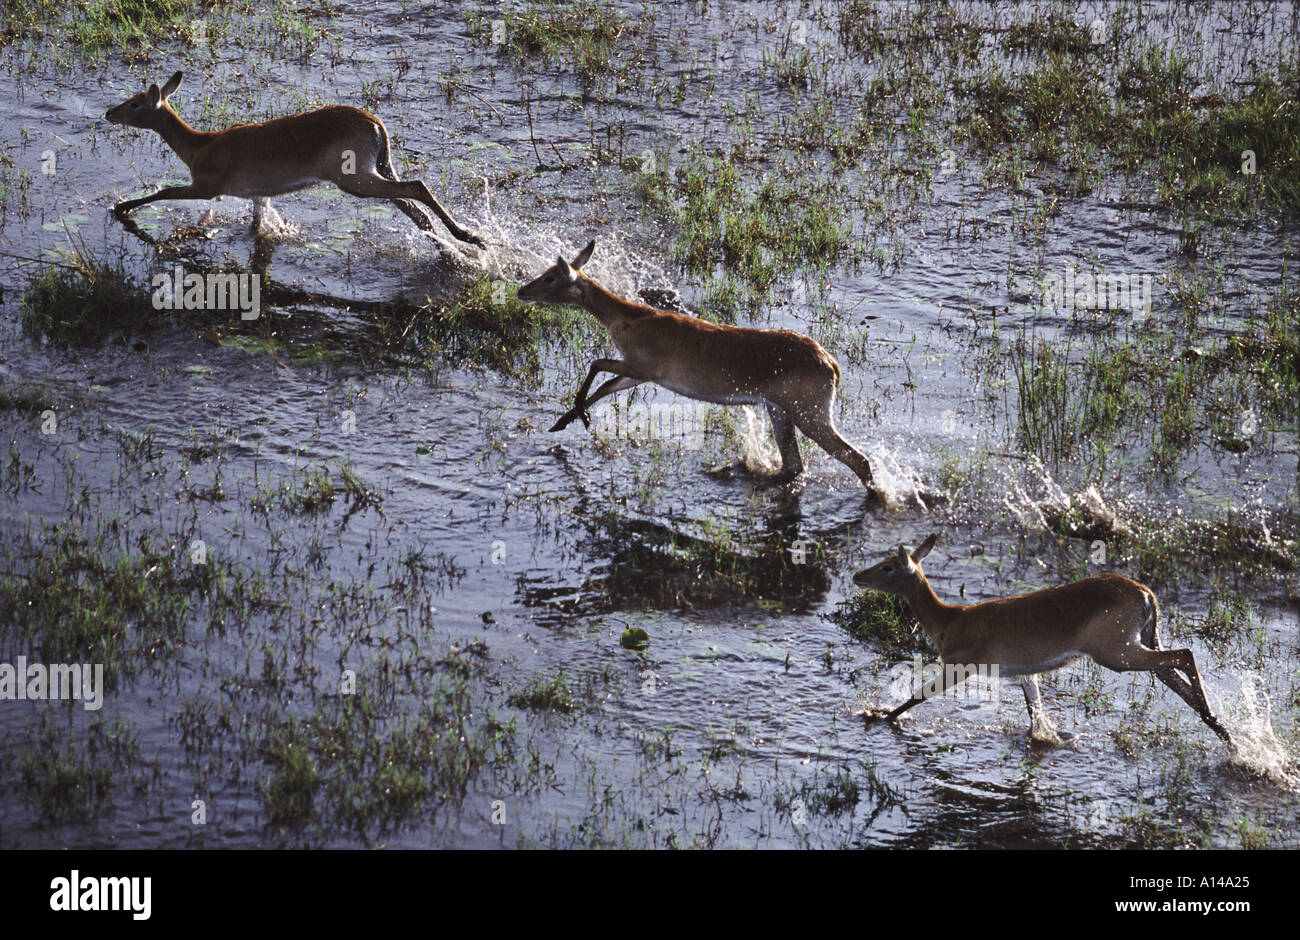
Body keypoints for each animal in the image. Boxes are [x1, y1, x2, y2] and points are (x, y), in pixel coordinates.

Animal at [104, 70, 486, 245]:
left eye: (135, 103)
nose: (109, 112)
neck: (200, 145)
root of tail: (375, 122)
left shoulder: (206, 187)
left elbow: (164, 191)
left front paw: (120, 207)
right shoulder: (257, 194)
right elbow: (258, 224)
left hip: (355, 178)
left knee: (418, 187)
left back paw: (470, 237)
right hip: (379, 170)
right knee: (415, 209)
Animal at [512, 239, 878, 496]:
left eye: (550, 277)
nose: (521, 290)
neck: (627, 318)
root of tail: (832, 364)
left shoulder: (643, 368)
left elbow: (595, 364)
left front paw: (578, 417)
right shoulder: (638, 375)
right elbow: (604, 386)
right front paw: (563, 422)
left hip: (810, 413)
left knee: (857, 459)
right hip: (781, 411)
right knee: (795, 465)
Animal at [847, 535, 1232, 748]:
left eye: (888, 566)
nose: (857, 575)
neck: (949, 620)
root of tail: (1145, 593)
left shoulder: (959, 667)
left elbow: (917, 696)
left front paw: (877, 715)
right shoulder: (1025, 672)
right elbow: (1034, 713)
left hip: (1117, 654)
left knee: (1185, 655)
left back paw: (1217, 722)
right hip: (1141, 644)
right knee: (1176, 671)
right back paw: (1223, 730)